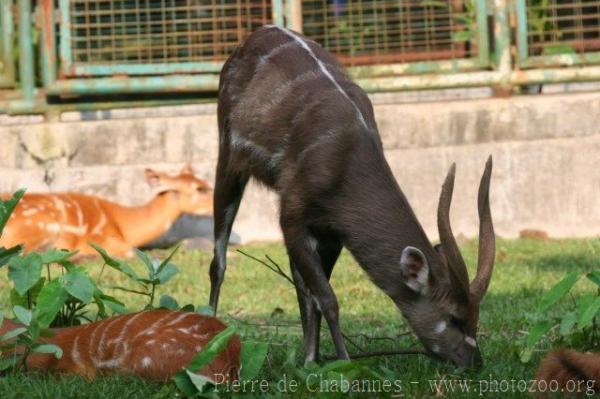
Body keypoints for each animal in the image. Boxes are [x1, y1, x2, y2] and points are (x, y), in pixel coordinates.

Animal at [209, 25, 494, 368]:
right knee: (218, 262)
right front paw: (343, 362)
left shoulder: (332, 232)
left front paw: (310, 360)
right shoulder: (292, 216)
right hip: (228, 159)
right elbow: (327, 298)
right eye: (454, 317)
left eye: (476, 318)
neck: (345, 159)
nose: (475, 362)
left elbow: (315, 294)